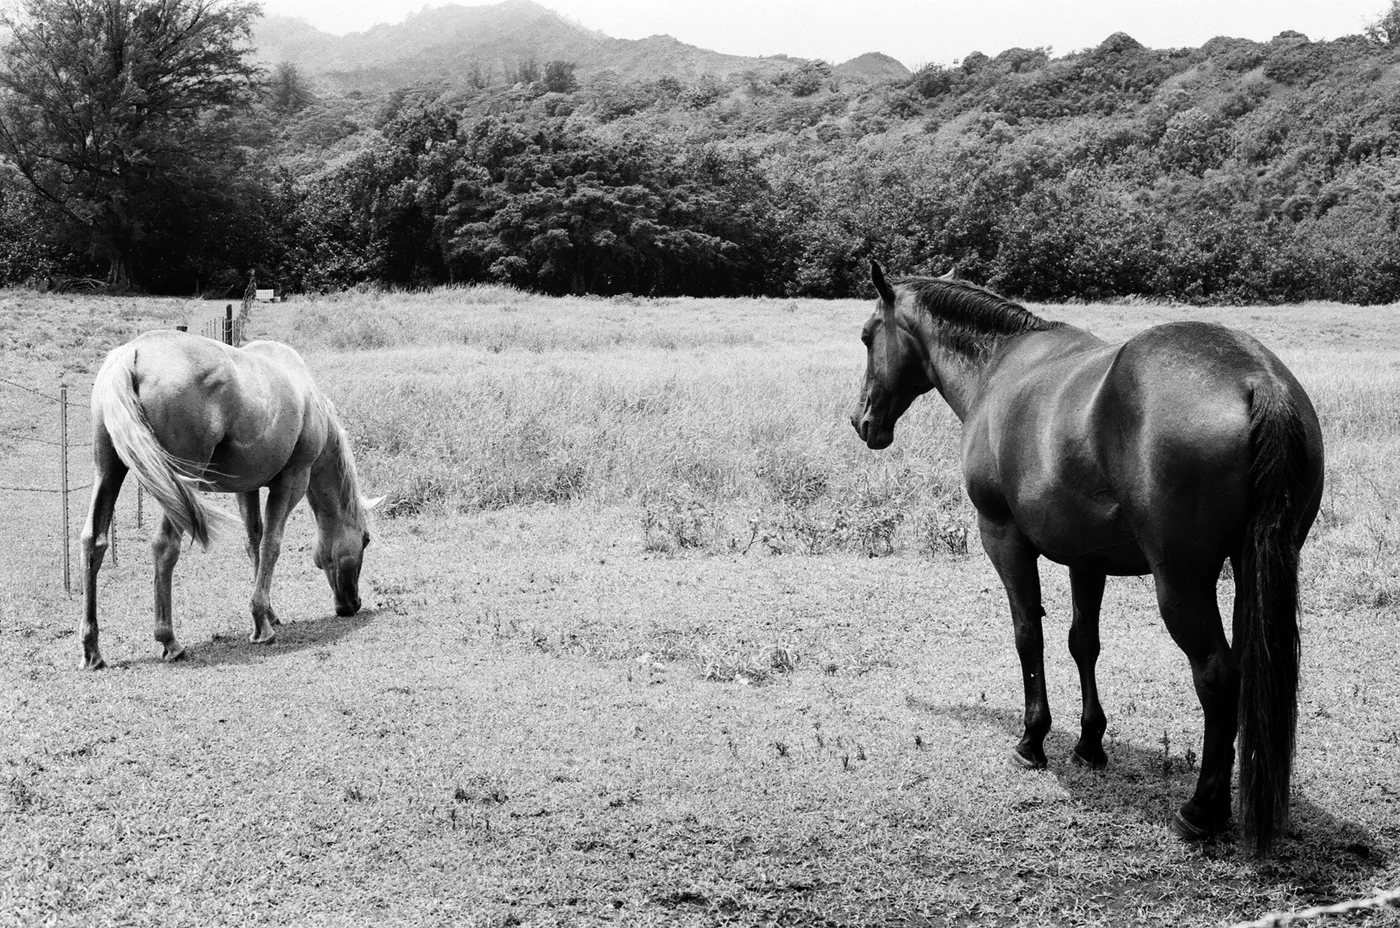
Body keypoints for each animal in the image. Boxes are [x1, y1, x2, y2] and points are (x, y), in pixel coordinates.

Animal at [80, 330, 381, 670]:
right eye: (365, 540)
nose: (353, 604)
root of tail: (132, 352)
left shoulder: (246, 487)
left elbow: (254, 542)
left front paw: (268, 614)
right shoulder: (292, 480)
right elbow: (271, 544)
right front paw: (262, 626)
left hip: (108, 470)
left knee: (94, 541)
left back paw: (92, 649)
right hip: (179, 482)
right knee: (165, 547)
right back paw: (170, 641)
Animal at [851, 260, 1323, 856]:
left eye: (868, 336)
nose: (862, 422)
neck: (1000, 367)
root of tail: (1256, 379)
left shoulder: (1003, 537)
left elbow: (1028, 635)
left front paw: (1033, 739)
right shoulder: (1086, 557)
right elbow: (1084, 644)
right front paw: (1089, 743)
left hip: (1183, 584)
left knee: (1218, 676)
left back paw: (1201, 810)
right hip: (1251, 573)